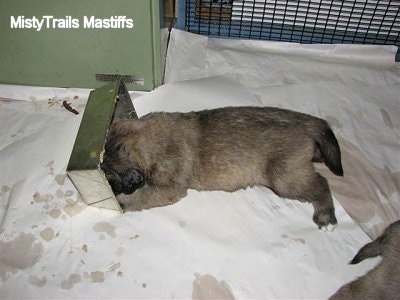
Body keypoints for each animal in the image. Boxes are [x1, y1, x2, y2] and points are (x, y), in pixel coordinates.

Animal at [101, 106, 342, 229]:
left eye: (111, 179)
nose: (113, 189)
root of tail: (307, 121)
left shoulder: (167, 188)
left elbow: (138, 197)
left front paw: (121, 202)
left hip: (285, 179)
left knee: (321, 183)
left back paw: (325, 216)